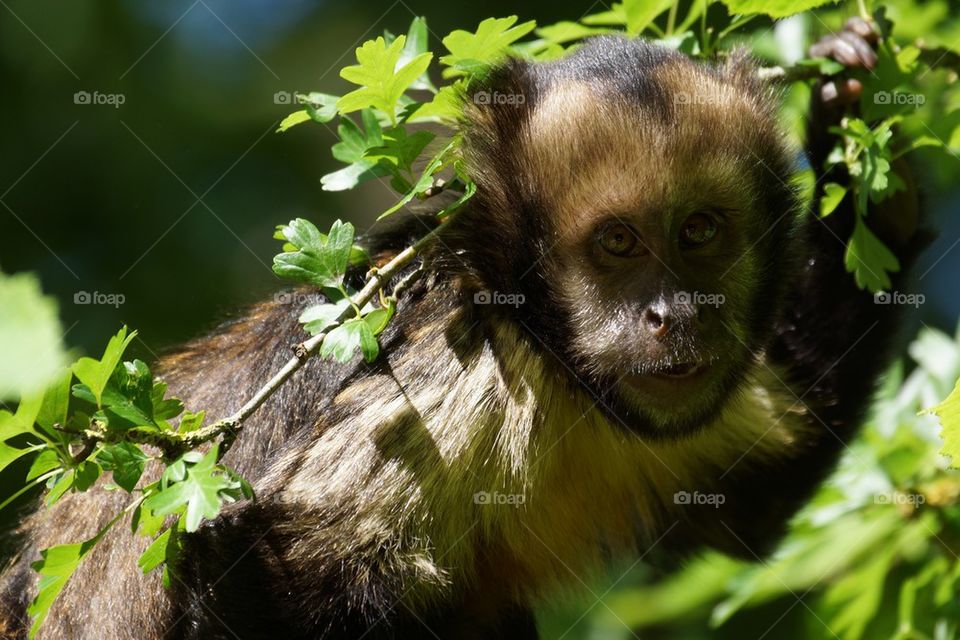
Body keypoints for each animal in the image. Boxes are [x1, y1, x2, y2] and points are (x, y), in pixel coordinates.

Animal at [1, 18, 928, 640]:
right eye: (619, 244)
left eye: (699, 232)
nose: (675, 315)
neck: (549, 352)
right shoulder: (456, 360)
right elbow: (256, 560)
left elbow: (755, 499)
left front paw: (857, 139)